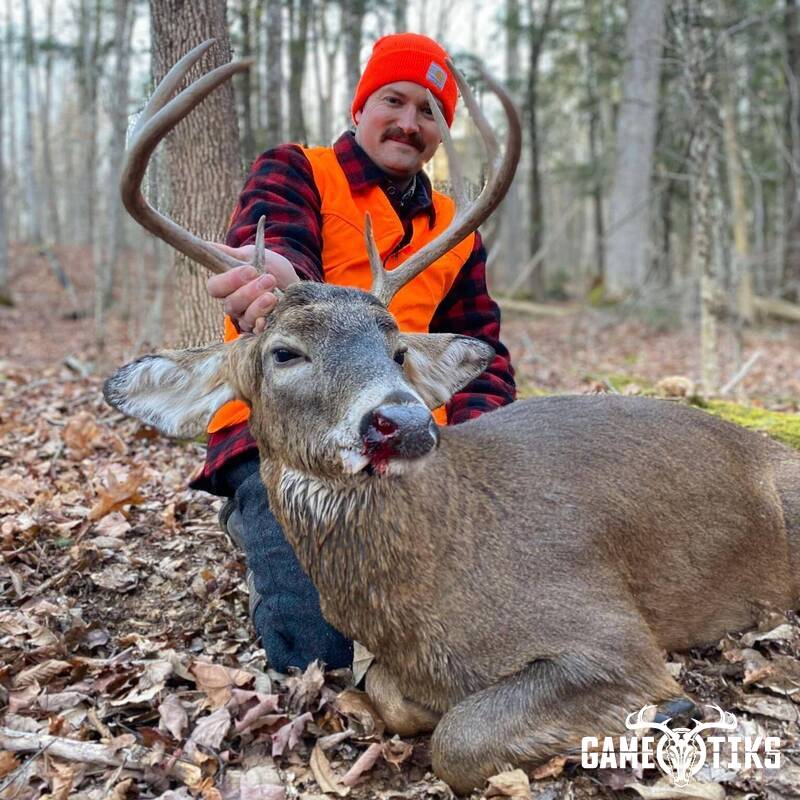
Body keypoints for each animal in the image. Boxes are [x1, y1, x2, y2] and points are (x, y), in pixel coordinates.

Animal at [105, 41, 800, 795]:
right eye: (285, 352)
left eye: (399, 350)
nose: (402, 422)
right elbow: (385, 695)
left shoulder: (611, 632)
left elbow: (459, 739)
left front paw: (669, 709)